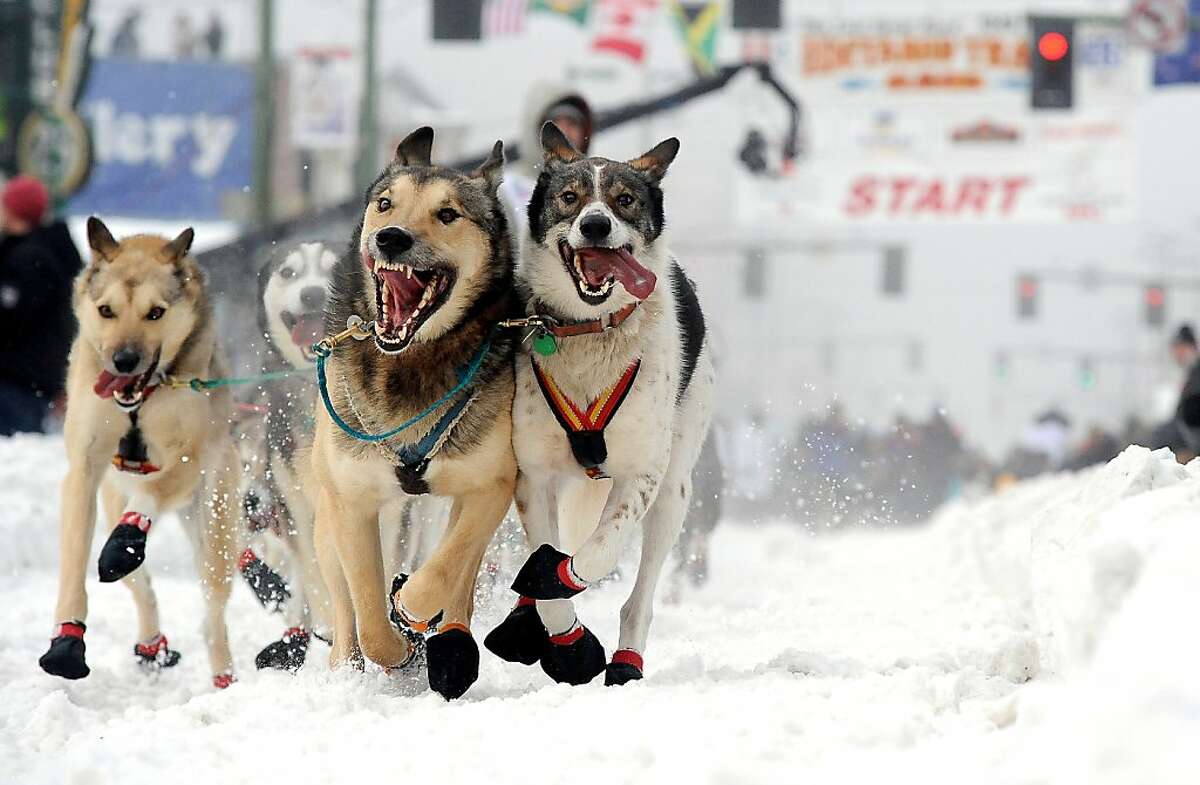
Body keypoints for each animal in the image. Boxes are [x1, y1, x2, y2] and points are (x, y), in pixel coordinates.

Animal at [38, 218, 243, 691]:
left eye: (155, 313)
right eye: (106, 311)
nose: (124, 359)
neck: (141, 400)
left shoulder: (190, 459)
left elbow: (152, 491)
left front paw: (125, 540)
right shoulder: (84, 470)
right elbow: (75, 565)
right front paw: (66, 643)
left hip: (215, 524)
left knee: (213, 609)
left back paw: (223, 675)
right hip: (113, 500)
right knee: (139, 582)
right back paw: (152, 644)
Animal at [309, 127, 520, 700]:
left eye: (448, 214)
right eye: (385, 204)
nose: (391, 238)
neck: (409, 360)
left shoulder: (491, 486)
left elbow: (442, 573)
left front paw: (411, 606)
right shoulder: (352, 501)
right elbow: (369, 612)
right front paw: (394, 645)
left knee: (457, 576)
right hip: (327, 523)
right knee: (345, 614)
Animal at [484, 121, 715, 691]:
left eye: (624, 200)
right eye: (570, 197)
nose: (594, 224)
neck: (589, 330)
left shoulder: (641, 476)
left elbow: (591, 554)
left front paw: (560, 583)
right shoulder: (536, 475)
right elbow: (545, 572)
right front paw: (564, 641)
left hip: (675, 491)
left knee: (640, 595)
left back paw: (628, 659)